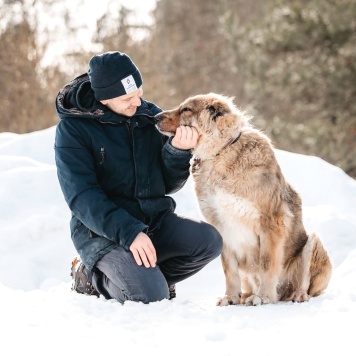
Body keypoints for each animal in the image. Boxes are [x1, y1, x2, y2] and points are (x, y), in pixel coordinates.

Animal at [154, 94, 332, 306]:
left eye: (186, 110)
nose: (154, 117)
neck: (221, 152)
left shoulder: (271, 223)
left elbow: (267, 264)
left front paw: (263, 297)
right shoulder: (222, 226)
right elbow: (229, 268)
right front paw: (230, 297)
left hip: (313, 241)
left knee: (306, 284)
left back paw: (297, 294)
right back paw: (245, 296)